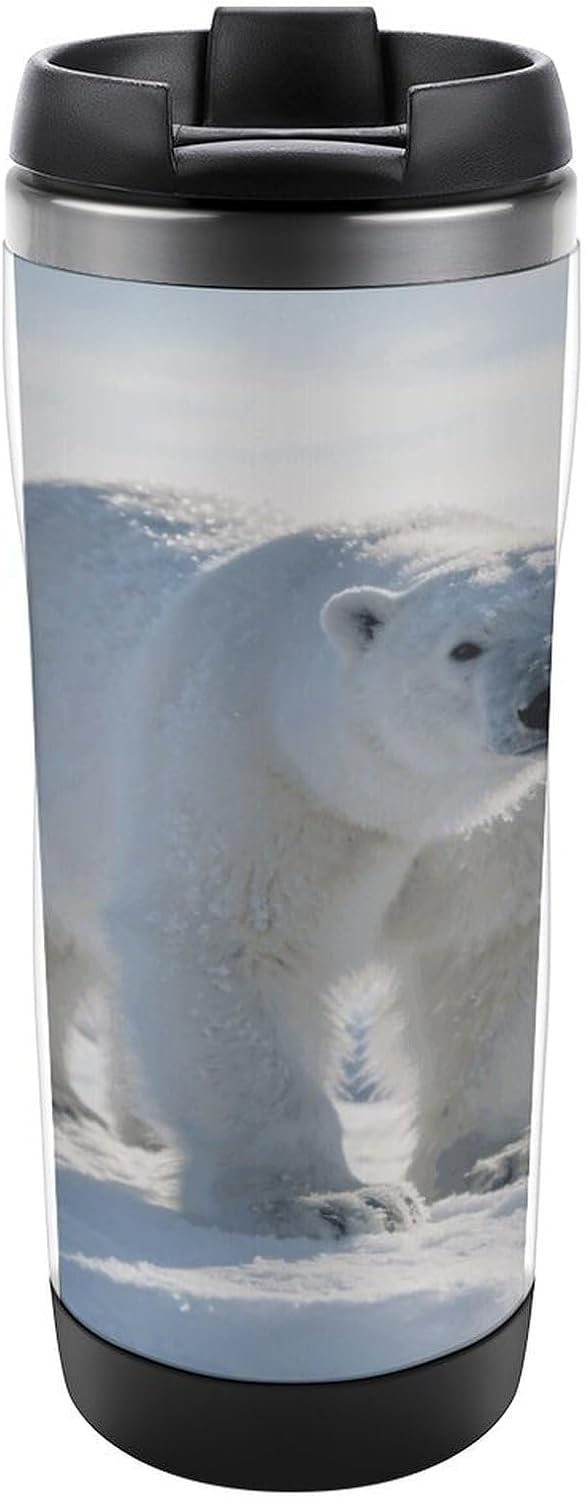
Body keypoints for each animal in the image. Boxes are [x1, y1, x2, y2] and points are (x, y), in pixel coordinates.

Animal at [26, 490, 554, 1238]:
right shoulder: (255, 767)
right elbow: (232, 944)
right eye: (464, 648)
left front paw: (494, 1162)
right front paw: (335, 1203)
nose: (538, 704)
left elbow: (487, 966)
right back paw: (66, 1110)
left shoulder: (490, 838)